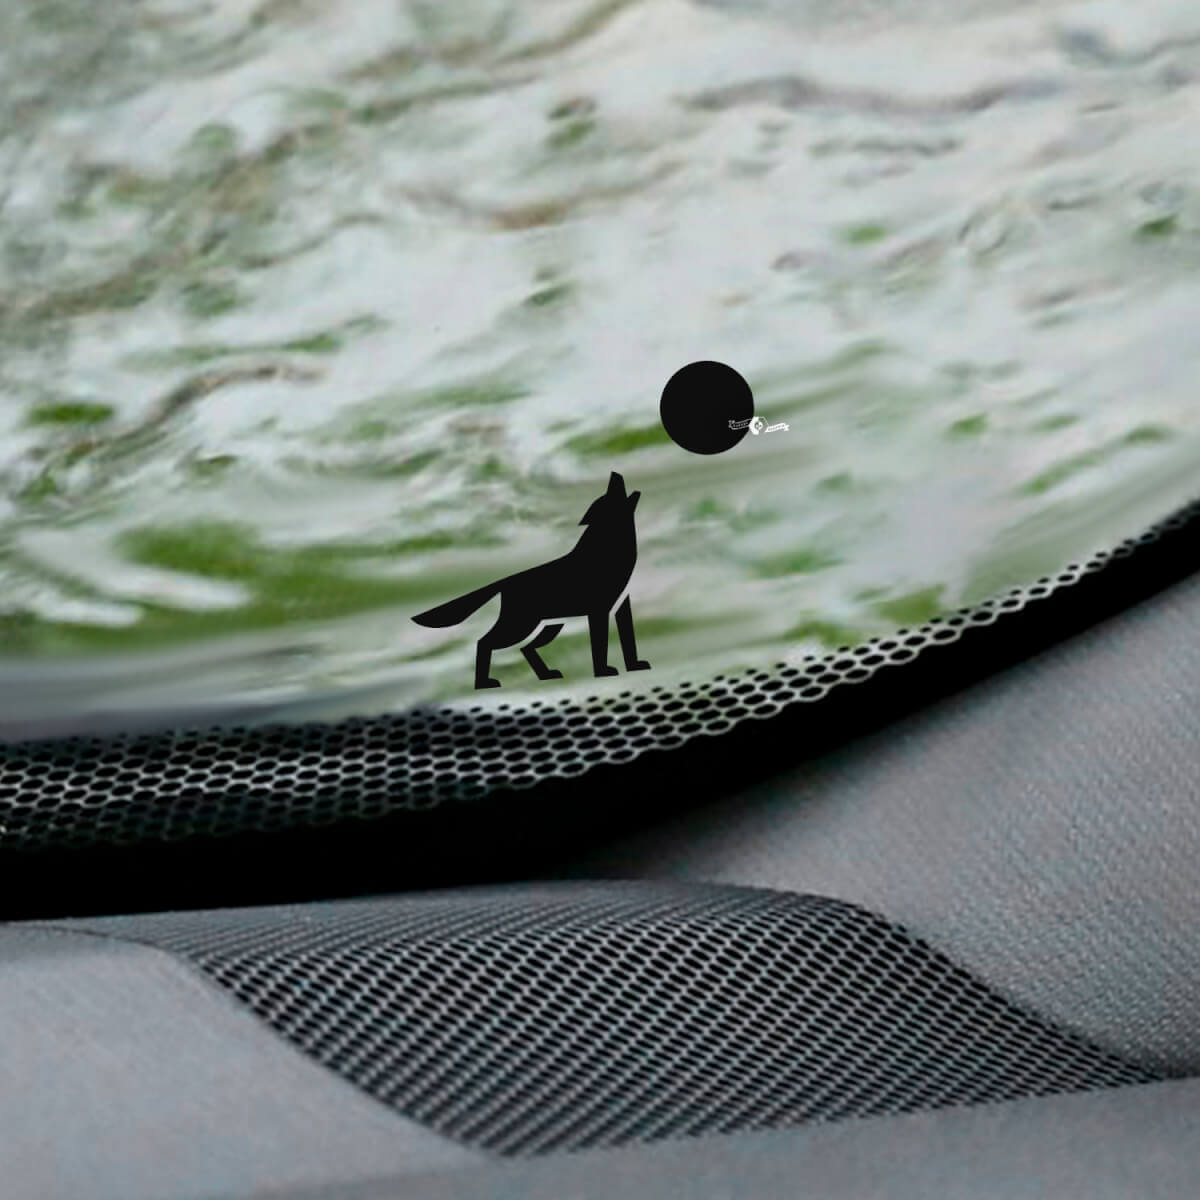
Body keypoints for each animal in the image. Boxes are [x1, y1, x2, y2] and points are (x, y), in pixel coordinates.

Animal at [412, 471, 651, 690]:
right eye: (609, 494)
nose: (615, 474)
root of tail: (504, 582)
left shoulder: (622, 606)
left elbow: (629, 642)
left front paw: (635, 666)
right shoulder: (598, 610)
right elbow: (600, 646)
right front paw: (604, 671)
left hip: (548, 626)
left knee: (525, 648)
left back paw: (546, 674)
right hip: (520, 624)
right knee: (486, 642)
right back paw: (486, 682)